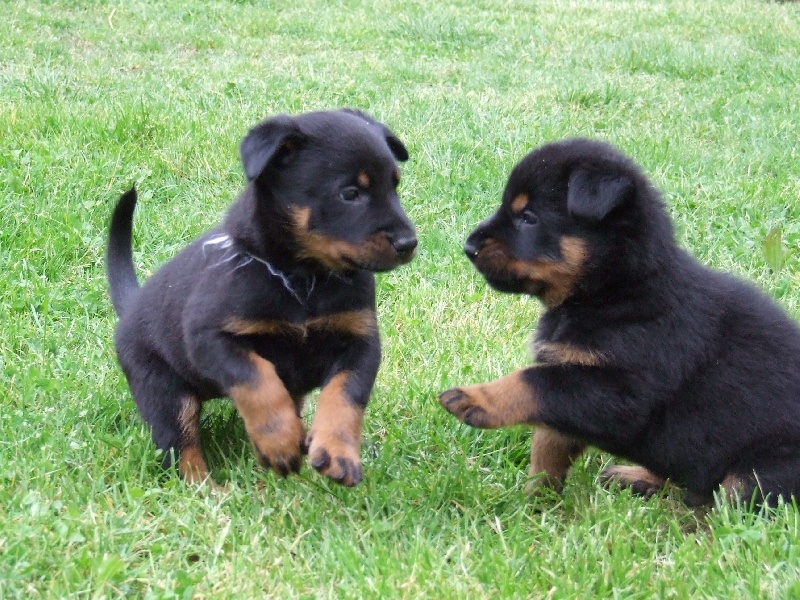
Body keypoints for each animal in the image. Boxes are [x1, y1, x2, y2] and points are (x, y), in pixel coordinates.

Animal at [106, 109, 416, 488]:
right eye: (349, 193)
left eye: (395, 185)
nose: (409, 242)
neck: (303, 279)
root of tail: (129, 307)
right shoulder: (211, 338)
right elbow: (258, 381)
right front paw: (278, 442)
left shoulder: (360, 342)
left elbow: (345, 395)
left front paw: (337, 451)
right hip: (162, 389)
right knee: (180, 447)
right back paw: (207, 490)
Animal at [440, 137, 800, 506]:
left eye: (528, 217)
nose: (468, 246)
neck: (613, 293)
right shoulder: (570, 384)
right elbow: (547, 448)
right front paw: (536, 503)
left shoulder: (616, 391)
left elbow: (531, 382)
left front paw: (476, 399)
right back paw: (639, 478)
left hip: (761, 469)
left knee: (720, 503)